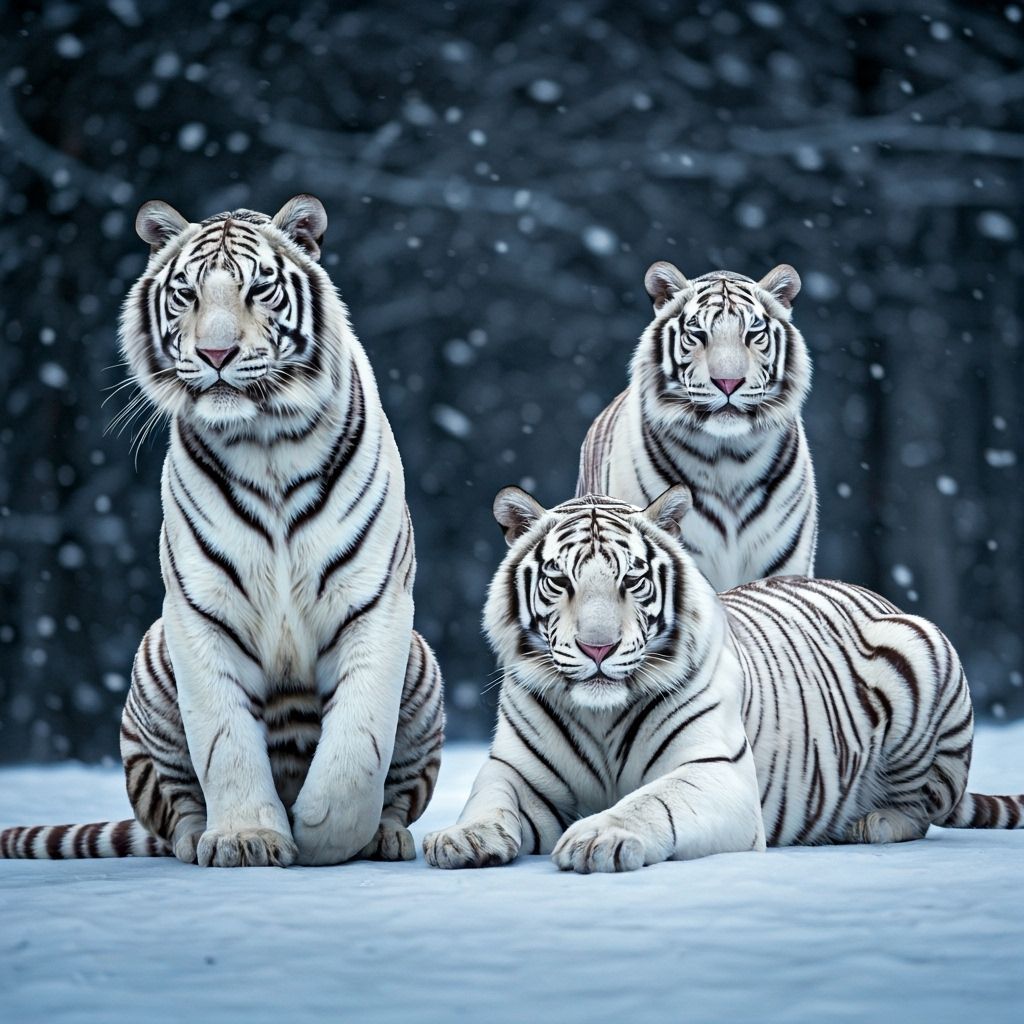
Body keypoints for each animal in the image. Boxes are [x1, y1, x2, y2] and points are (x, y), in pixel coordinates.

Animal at [0, 195, 444, 867]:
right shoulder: (200, 611)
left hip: (423, 665)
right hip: (152, 664)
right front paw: (248, 838)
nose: (215, 355)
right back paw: (196, 839)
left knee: (397, 789)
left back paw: (384, 837)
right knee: (175, 805)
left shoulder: (376, 602)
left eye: (259, 288)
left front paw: (325, 835)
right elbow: (223, 742)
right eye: (185, 293)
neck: (267, 441)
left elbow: (358, 743)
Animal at [423, 488, 1023, 873]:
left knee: (921, 812)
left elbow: (650, 802)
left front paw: (598, 835)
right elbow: (488, 801)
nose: (598, 648)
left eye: (632, 580)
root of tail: (874, 593)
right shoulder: (516, 773)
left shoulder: (716, 772)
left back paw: (866, 823)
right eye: (558, 580)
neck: (602, 715)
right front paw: (461, 837)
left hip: (923, 651)